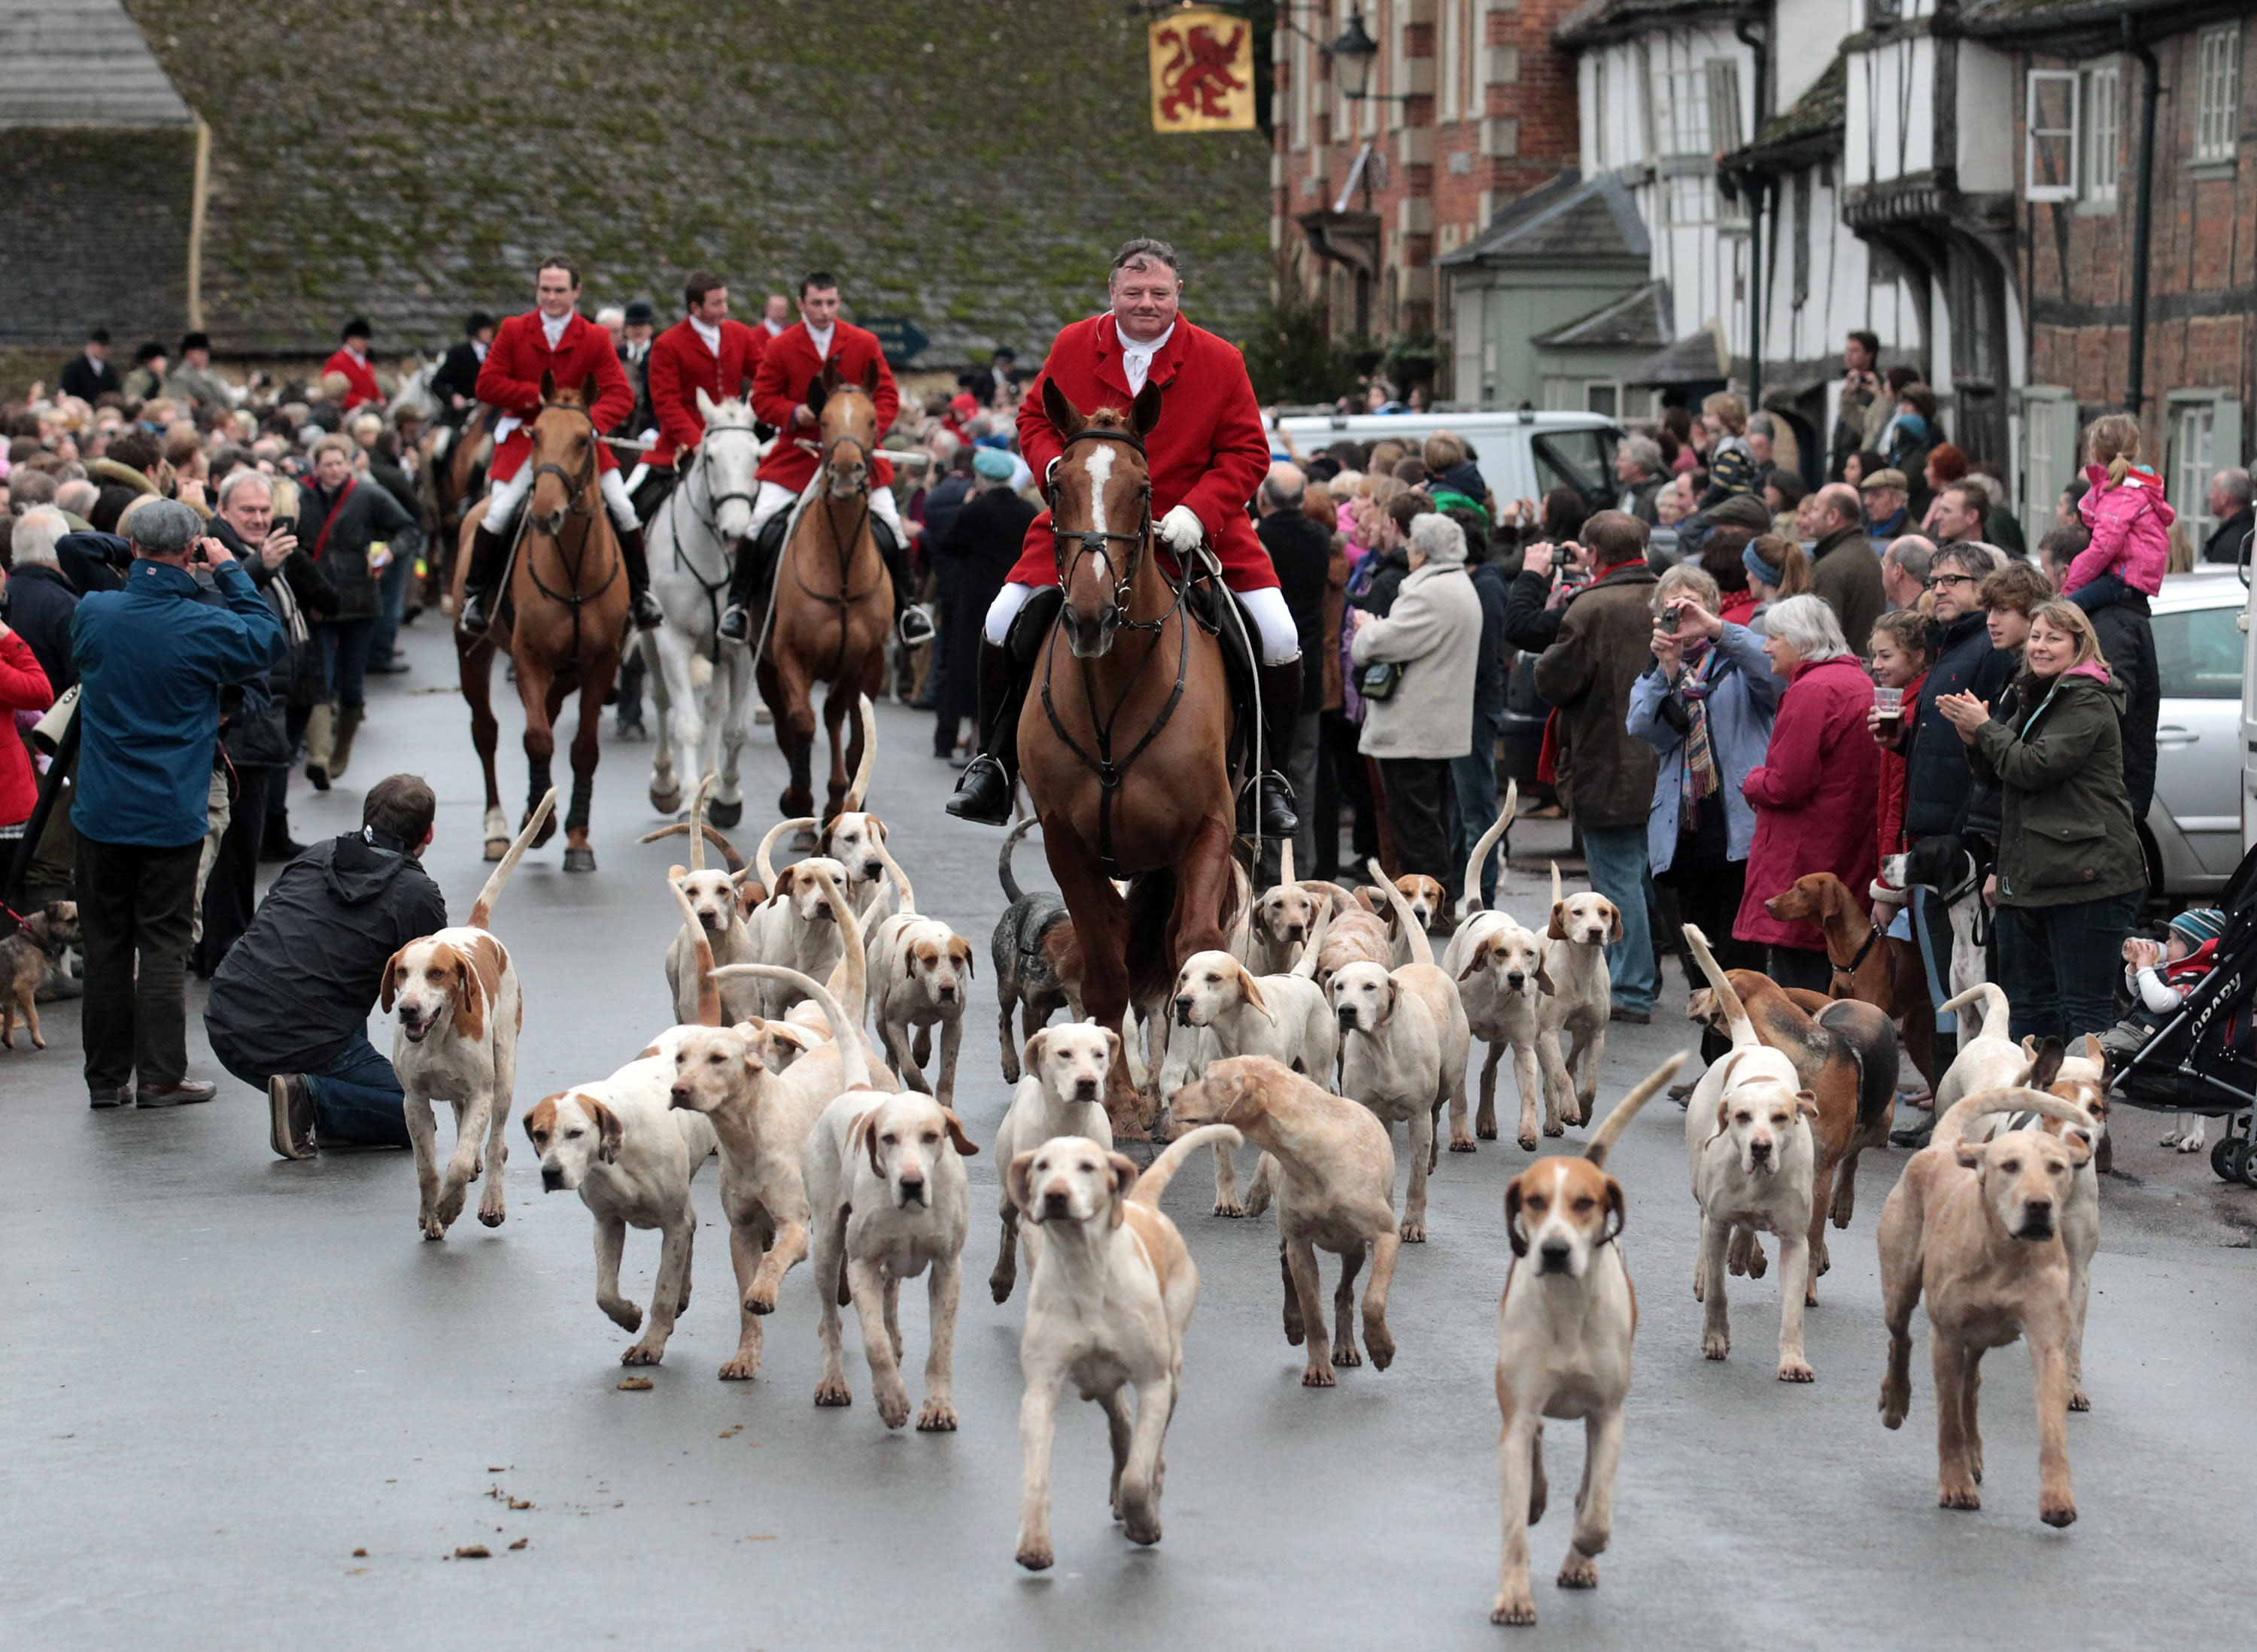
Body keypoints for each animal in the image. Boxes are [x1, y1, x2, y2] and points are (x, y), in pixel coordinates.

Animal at [451, 370, 627, 871]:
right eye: (535, 435)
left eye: (585, 439)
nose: (545, 514)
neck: (574, 569)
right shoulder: (528, 657)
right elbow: (537, 740)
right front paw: (543, 823)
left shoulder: (602, 662)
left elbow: (583, 749)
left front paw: (577, 838)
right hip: (472, 655)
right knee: (487, 732)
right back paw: (499, 830)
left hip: (568, 673)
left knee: (548, 713)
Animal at [646, 395, 767, 831]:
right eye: (710, 457)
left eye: (757, 456)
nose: (735, 531)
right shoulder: (672, 641)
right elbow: (686, 725)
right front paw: (685, 798)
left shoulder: (741, 648)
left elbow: (733, 730)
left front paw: (727, 797)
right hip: (651, 642)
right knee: (662, 701)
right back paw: (667, 784)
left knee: (715, 709)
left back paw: (711, 787)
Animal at [754, 359, 885, 826]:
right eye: (824, 420)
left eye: (872, 419)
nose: (846, 474)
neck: (841, 567)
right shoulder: (791, 657)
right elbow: (802, 723)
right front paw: (800, 799)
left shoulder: (865, 661)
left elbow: (853, 734)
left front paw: (844, 801)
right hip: (765, 666)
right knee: (786, 722)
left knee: (834, 718)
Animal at [1025, 384, 1237, 1137]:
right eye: (1056, 483)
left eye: (1143, 490)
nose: (1090, 617)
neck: (1118, 683)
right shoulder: (1068, 845)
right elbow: (1106, 972)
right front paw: (1116, 1100)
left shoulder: (1207, 833)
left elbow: (1195, 950)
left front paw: (1178, 1089)